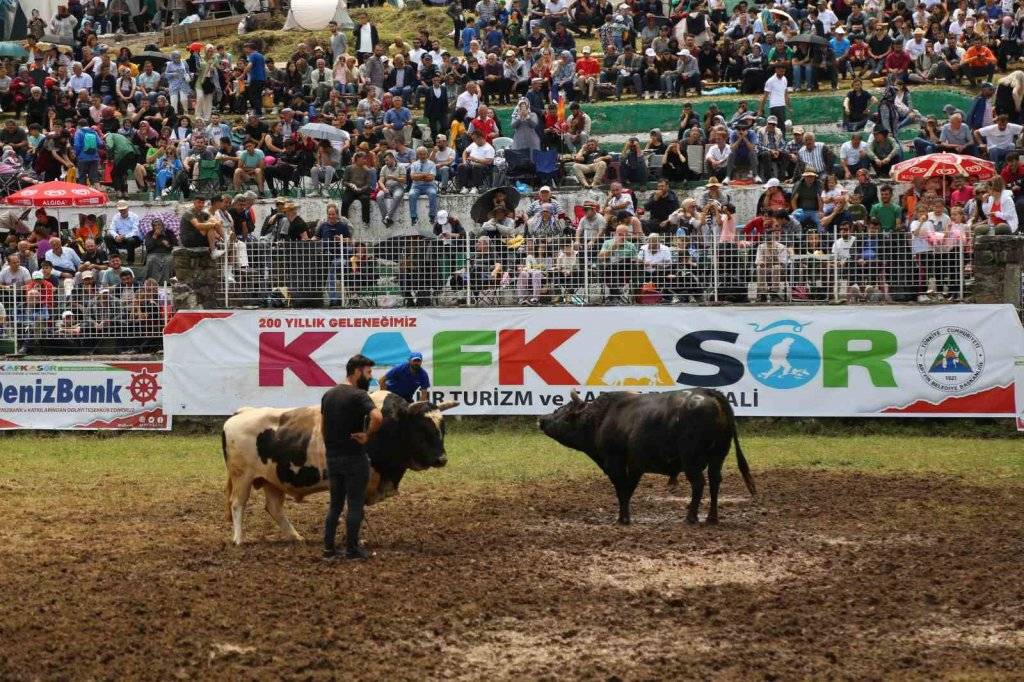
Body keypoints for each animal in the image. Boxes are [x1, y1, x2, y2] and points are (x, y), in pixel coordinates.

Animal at [222, 387, 458, 540]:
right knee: (237, 504)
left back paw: (296, 537)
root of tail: (242, 412)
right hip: (242, 477)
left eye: (441, 428)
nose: (442, 459)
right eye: (421, 429)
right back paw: (239, 540)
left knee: (274, 508)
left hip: (273, 479)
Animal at [540, 385, 757, 522]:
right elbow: (628, 489)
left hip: (691, 459)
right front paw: (624, 516)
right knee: (714, 482)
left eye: (560, 409)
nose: (541, 419)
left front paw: (623, 518)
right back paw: (712, 517)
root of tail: (710, 393)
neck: (602, 418)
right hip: (717, 457)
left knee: (698, 484)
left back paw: (691, 517)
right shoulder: (636, 465)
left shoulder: (614, 463)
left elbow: (621, 489)